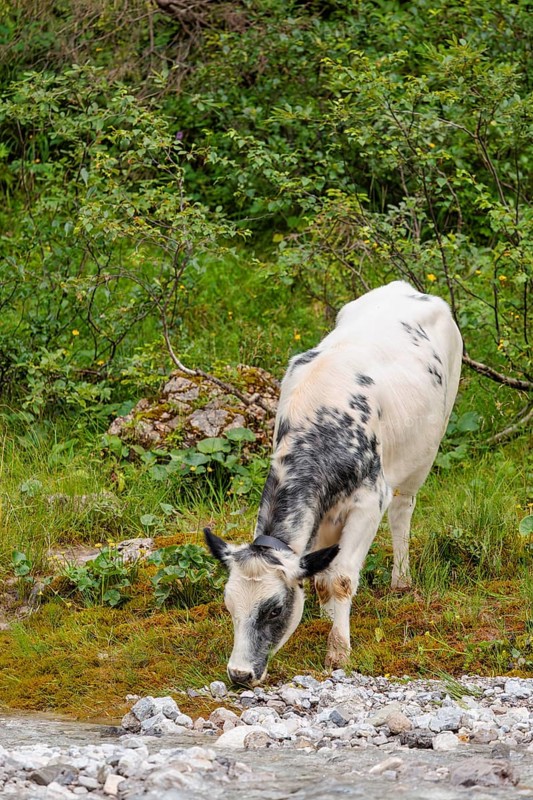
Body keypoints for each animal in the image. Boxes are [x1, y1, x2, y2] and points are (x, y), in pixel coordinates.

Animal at [205, 281, 462, 686]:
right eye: (229, 605)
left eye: (274, 610)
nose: (240, 673)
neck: (323, 421)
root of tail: (403, 288)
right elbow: (316, 574)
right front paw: (325, 617)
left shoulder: (369, 501)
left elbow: (337, 578)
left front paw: (338, 650)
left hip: (428, 445)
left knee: (402, 510)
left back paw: (401, 581)